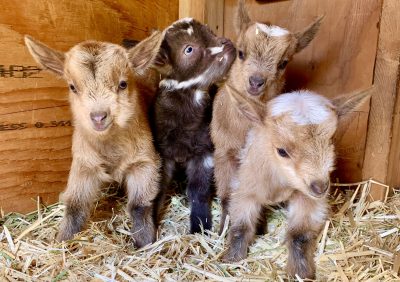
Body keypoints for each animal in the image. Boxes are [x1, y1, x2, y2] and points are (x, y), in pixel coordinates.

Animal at [24, 32, 164, 247]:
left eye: (123, 84)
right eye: (72, 87)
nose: (98, 117)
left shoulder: (144, 160)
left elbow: (139, 205)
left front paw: (144, 241)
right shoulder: (84, 164)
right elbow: (75, 205)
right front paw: (62, 240)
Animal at [152, 18, 236, 234]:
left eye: (210, 31)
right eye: (189, 49)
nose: (227, 44)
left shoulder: (204, 150)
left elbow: (198, 189)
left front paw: (200, 225)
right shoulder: (162, 152)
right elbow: (157, 189)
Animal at [211, 0, 324, 234]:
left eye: (283, 63)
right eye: (241, 52)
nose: (256, 82)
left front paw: (260, 224)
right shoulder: (224, 151)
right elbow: (227, 192)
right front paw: (225, 224)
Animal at [223, 89, 370, 278]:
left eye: (331, 141)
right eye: (281, 151)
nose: (320, 187)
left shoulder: (309, 199)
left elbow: (299, 235)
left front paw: (301, 271)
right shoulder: (246, 187)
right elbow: (240, 228)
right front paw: (232, 258)